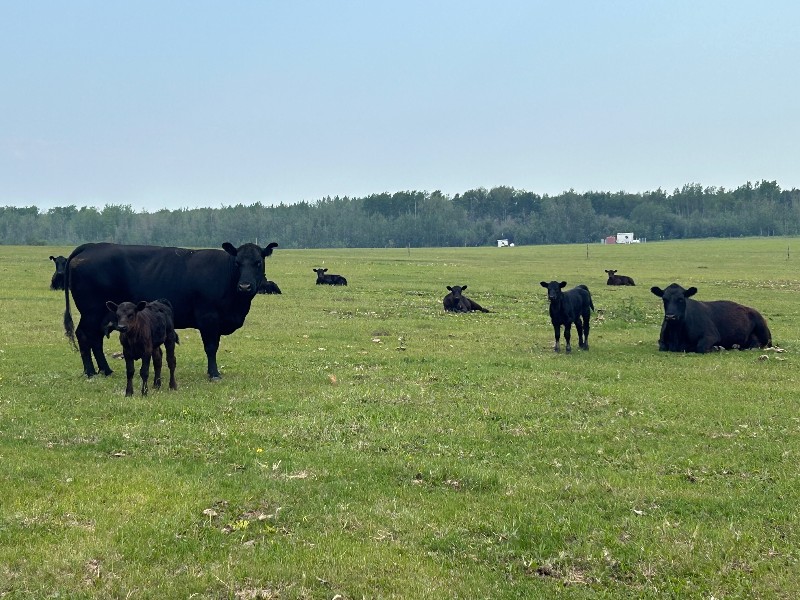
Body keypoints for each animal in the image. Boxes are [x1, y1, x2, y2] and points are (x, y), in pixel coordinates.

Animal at [63, 241, 278, 380]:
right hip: (91, 312)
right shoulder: (208, 318)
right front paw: (214, 374)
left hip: (103, 314)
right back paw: (91, 372)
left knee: (95, 339)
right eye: (237, 263)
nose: (245, 286)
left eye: (258, 262)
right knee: (84, 335)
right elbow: (211, 347)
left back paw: (105, 370)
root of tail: (92, 246)